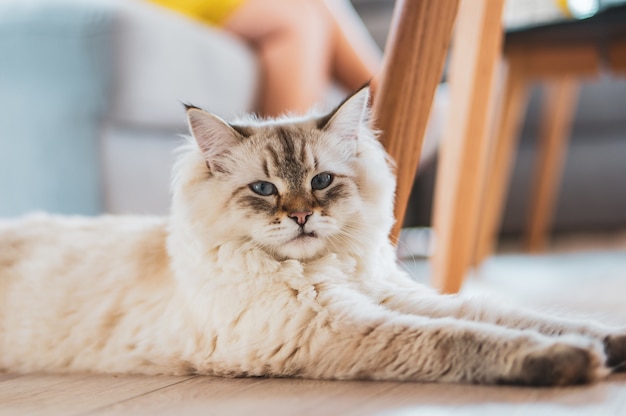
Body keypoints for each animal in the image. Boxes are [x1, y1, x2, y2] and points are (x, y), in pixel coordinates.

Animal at [0, 87, 620, 386]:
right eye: (264, 189)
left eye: (321, 181)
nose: (300, 217)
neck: (327, 271)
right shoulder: (334, 328)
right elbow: (465, 338)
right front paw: (571, 360)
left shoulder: (394, 297)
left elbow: (512, 315)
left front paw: (610, 343)